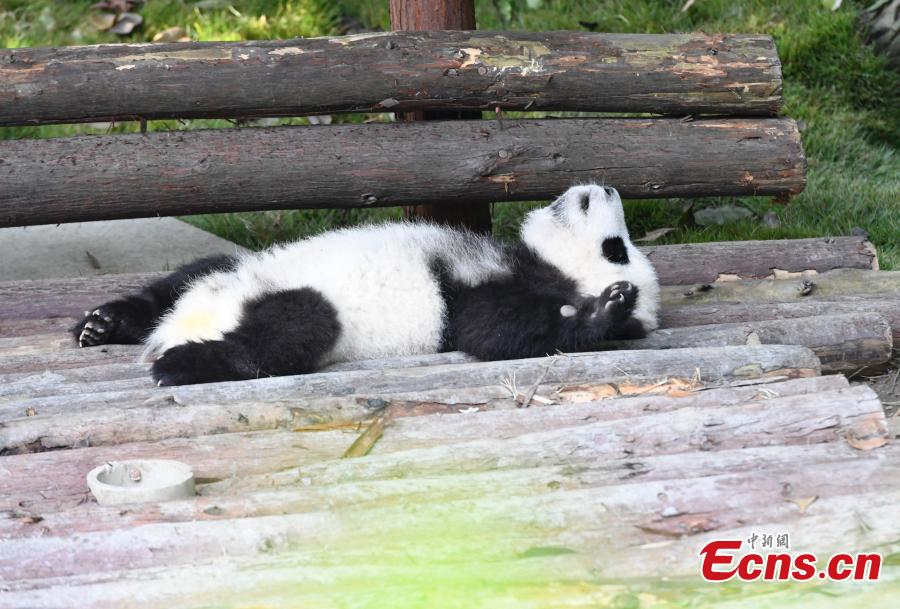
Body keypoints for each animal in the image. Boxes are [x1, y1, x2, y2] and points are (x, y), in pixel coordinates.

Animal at [73, 184, 660, 386]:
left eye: (617, 249)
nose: (605, 188)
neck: (527, 264)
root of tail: (185, 324)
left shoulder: (472, 300)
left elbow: (492, 332)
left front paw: (607, 311)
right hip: (229, 270)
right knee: (187, 276)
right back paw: (104, 323)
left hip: (307, 314)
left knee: (287, 333)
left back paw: (182, 362)